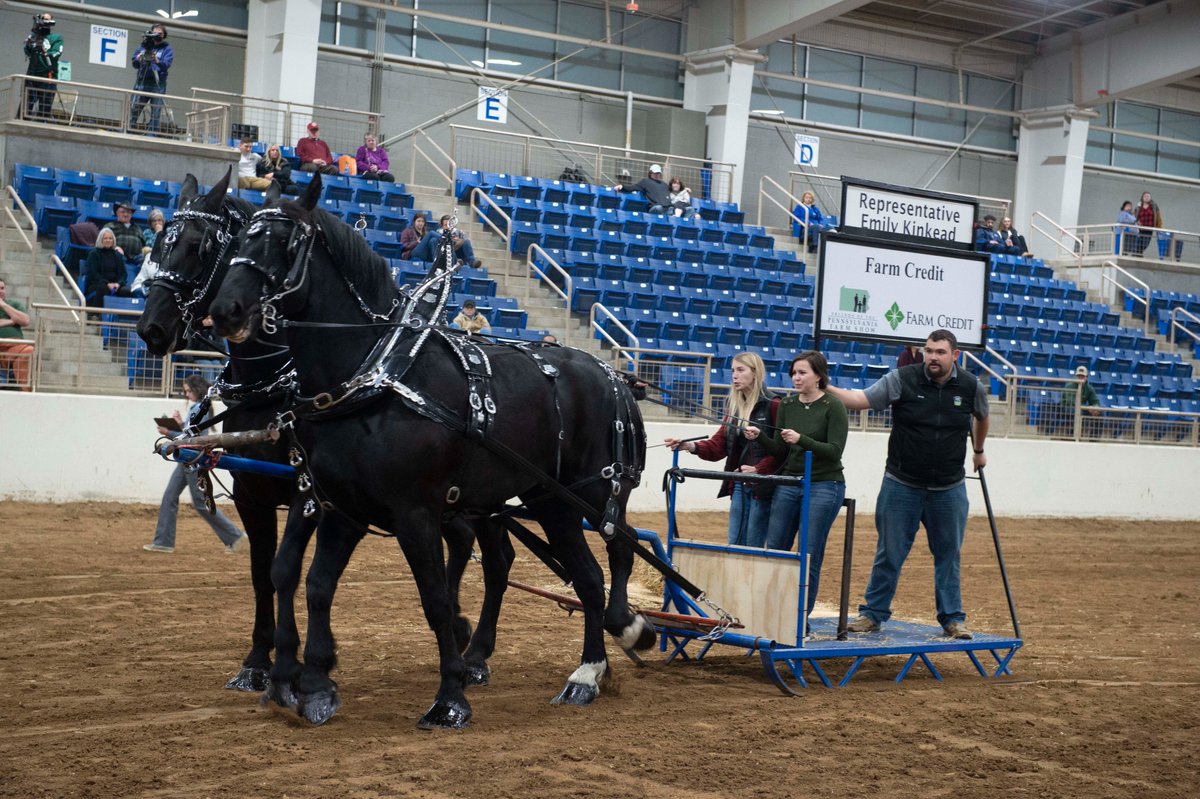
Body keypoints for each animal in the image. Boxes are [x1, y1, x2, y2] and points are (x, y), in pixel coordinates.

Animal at [134, 170, 501, 696]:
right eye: (159, 243)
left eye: (198, 246)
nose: (151, 329)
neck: (275, 384)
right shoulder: (254, 493)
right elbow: (262, 572)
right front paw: (258, 661)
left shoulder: (307, 495)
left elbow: (287, 569)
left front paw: (295, 666)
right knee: (470, 543)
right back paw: (462, 629)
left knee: (494, 556)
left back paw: (472, 649)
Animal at [209, 175, 654, 728]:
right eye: (237, 240)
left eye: (283, 243)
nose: (224, 311)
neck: (374, 377)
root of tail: (611, 373)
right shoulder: (339, 508)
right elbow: (315, 583)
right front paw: (311, 685)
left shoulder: (415, 513)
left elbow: (436, 600)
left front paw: (450, 698)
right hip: (549, 501)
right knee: (588, 576)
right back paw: (590, 671)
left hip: (588, 494)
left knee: (613, 555)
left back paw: (600, 654)